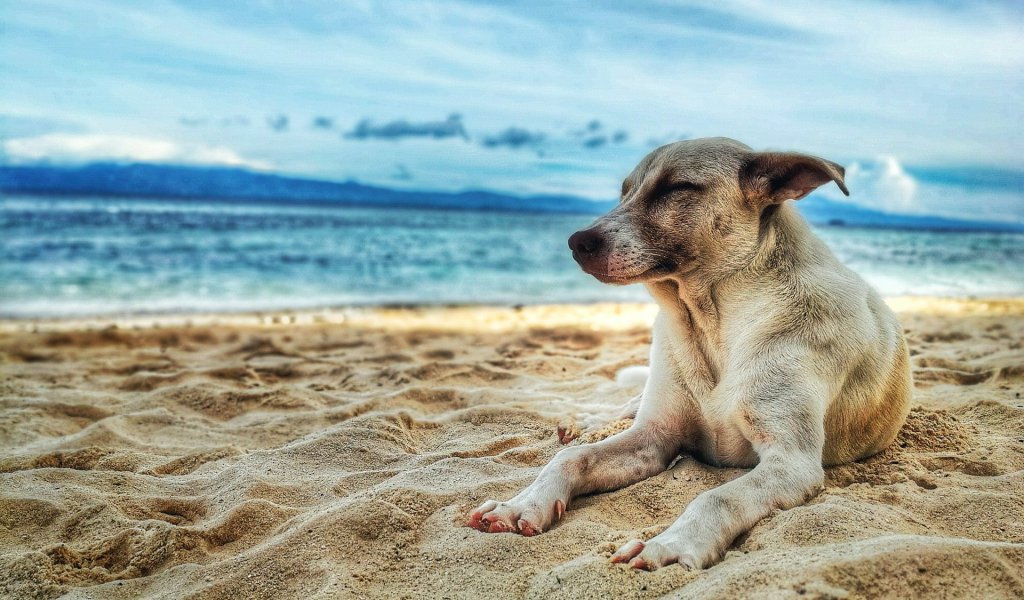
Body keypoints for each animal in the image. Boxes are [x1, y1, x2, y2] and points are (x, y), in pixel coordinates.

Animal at [468, 136, 909, 569]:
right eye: (624, 191)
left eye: (676, 188)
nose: (577, 242)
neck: (709, 324)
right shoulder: (653, 436)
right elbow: (571, 459)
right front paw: (522, 504)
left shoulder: (791, 462)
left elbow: (716, 497)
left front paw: (670, 545)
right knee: (621, 411)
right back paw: (588, 422)